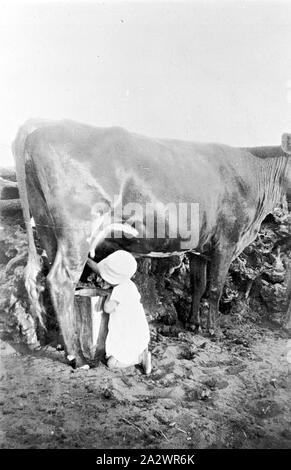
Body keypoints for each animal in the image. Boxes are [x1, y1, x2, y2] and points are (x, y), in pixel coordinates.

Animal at [13, 118, 291, 368]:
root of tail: (43, 125)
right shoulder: (227, 242)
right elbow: (214, 289)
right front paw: (214, 330)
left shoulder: (200, 247)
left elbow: (198, 285)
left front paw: (193, 324)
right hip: (78, 229)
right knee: (61, 280)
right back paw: (78, 358)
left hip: (46, 224)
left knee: (48, 278)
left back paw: (58, 342)